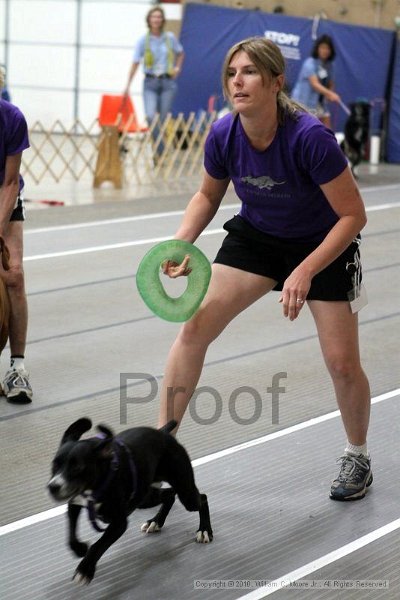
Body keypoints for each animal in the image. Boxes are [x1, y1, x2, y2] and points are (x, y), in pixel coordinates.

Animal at [47, 420, 212, 584]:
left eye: (78, 467)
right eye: (54, 464)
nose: (53, 487)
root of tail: (163, 433)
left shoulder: (119, 523)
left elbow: (99, 545)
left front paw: (85, 569)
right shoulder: (74, 503)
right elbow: (71, 535)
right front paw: (79, 548)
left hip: (186, 494)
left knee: (202, 498)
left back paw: (204, 530)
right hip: (144, 498)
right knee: (170, 495)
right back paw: (156, 521)